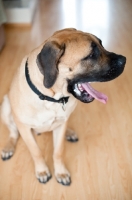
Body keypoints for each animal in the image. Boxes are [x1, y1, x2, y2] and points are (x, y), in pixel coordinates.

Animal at [0, 28, 126, 186]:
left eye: (101, 44)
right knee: (13, 133)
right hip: (5, 106)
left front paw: (60, 172)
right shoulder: (24, 127)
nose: (124, 60)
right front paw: (42, 171)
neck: (51, 98)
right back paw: (8, 147)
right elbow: (36, 151)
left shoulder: (61, 124)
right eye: (91, 55)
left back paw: (69, 132)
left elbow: (58, 152)